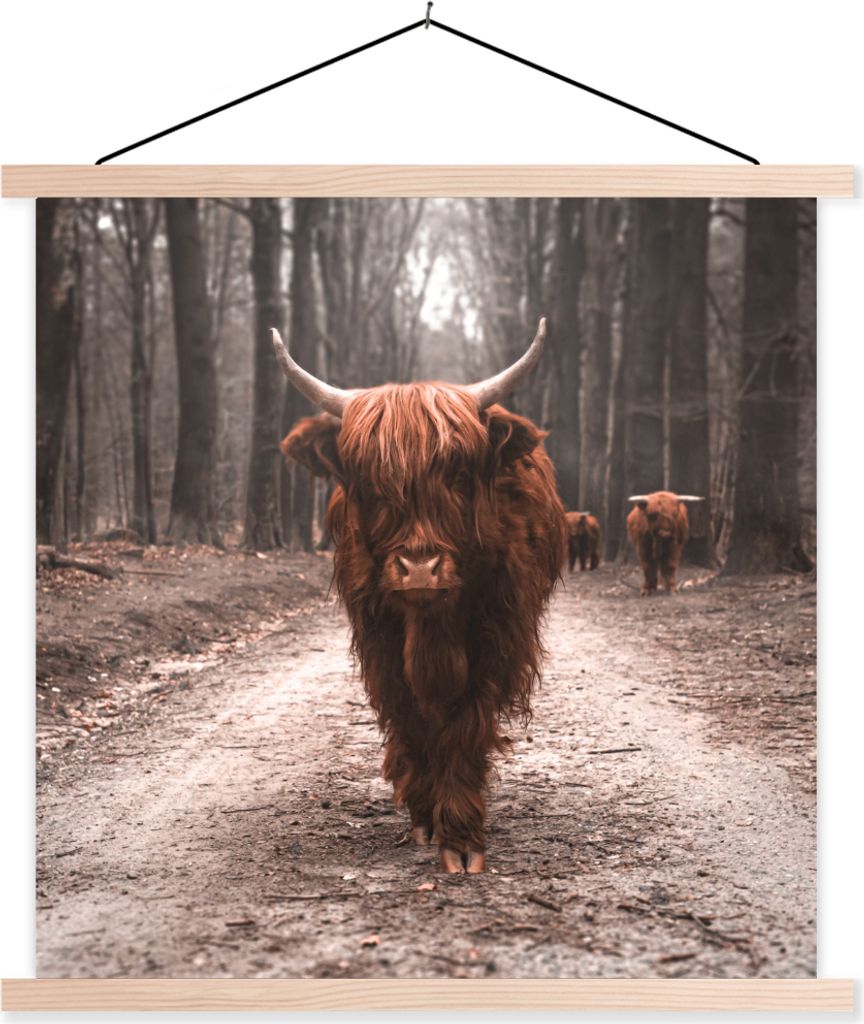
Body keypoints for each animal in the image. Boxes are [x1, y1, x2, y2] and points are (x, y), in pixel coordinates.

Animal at [275, 319, 566, 874]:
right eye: (369, 482)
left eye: (457, 474)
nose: (419, 570)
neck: (431, 627)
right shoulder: (380, 642)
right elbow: (410, 717)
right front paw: (425, 816)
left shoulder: (496, 638)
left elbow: (465, 723)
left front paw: (461, 836)